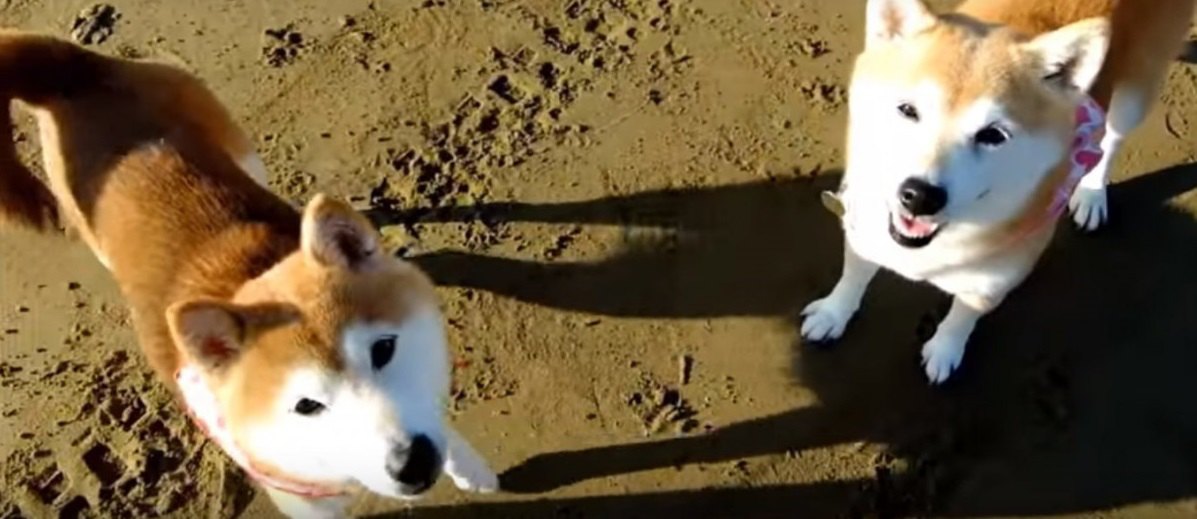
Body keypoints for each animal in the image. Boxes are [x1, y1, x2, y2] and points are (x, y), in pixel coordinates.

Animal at [0, 31, 500, 514]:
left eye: (384, 349)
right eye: (306, 406)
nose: (412, 462)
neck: (252, 277)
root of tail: (71, 74)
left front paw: (468, 465)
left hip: (237, 149)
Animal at [799, 0, 1192, 380]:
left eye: (993, 135)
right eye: (907, 110)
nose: (920, 195)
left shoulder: (991, 284)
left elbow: (962, 317)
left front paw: (944, 350)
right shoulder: (862, 229)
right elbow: (854, 275)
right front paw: (834, 313)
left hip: (1135, 94)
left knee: (1111, 140)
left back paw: (1092, 193)